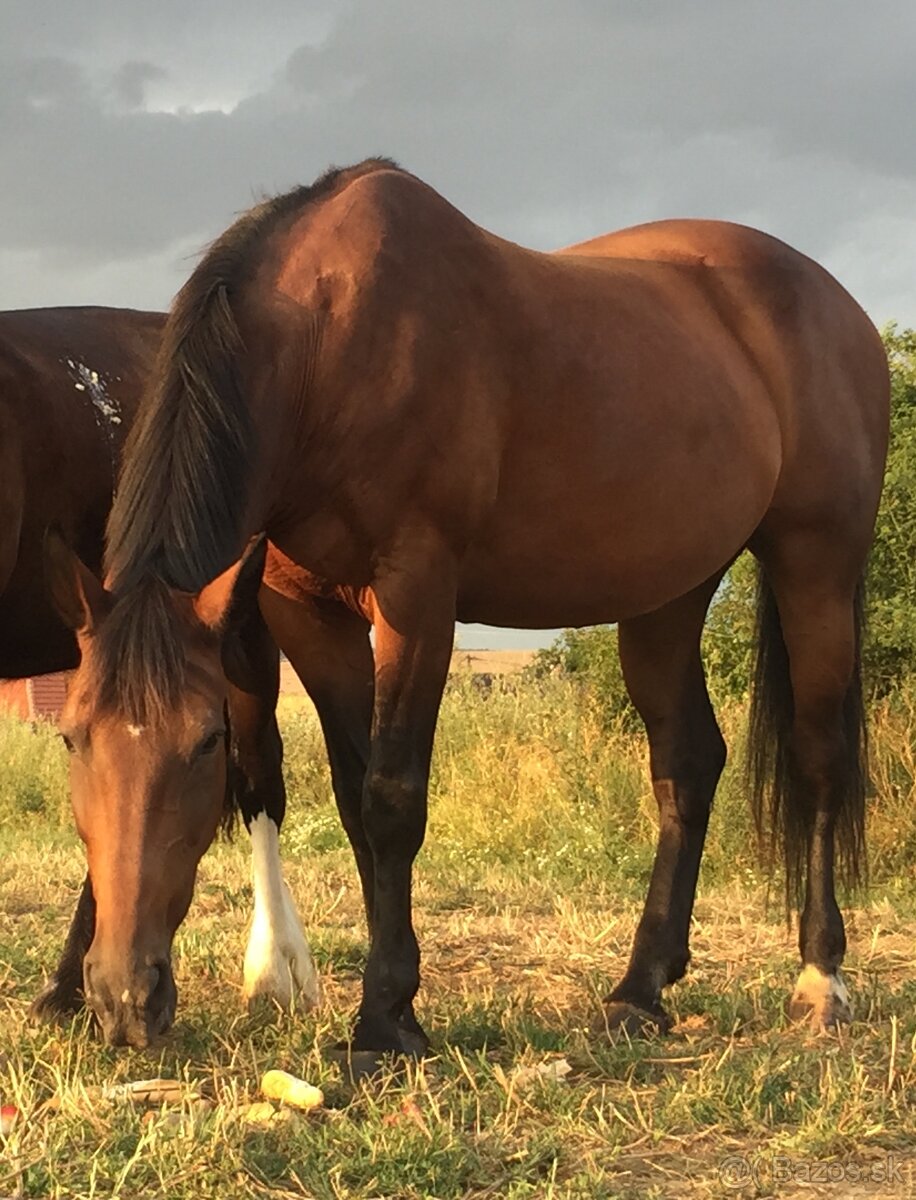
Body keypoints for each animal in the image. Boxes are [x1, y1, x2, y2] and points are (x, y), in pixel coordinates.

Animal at [46, 162, 893, 1051]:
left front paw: (384, 1022)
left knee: (819, 757)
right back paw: (640, 988)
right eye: (72, 737)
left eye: (208, 741)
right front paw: (390, 999)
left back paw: (820, 979)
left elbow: (392, 797)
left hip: (816, 564)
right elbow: (355, 799)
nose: (123, 997)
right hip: (668, 591)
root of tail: (834, 301)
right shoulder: (306, 613)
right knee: (688, 764)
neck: (323, 351)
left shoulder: (417, 594)